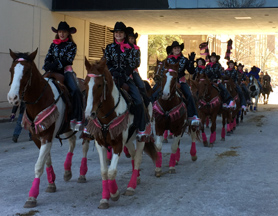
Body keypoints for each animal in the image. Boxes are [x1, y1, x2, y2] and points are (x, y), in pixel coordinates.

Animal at [7, 49, 90, 208]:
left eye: (27, 71)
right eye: (11, 70)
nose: (12, 98)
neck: (41, 99)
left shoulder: (47, 135)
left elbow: (39, 165)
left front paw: (32, 196)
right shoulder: (37, 137)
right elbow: (46, 159)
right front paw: (51, 183)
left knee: (84, 147)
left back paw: (82, 174)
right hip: (68, 126)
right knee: (72, 143)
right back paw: (67, 171)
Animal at [83, 57, 156, 209]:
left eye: (99, 85)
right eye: (86, 84)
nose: (89, 114)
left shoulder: (117, 144)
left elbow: (112, 171)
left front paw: (114, 193)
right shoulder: (100, 143)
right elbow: (104, 171)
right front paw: (104, 199)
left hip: (141, 137)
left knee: (138, 158)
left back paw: (131, 187)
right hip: (128, 140)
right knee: (133, 155)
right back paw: (136, 178)